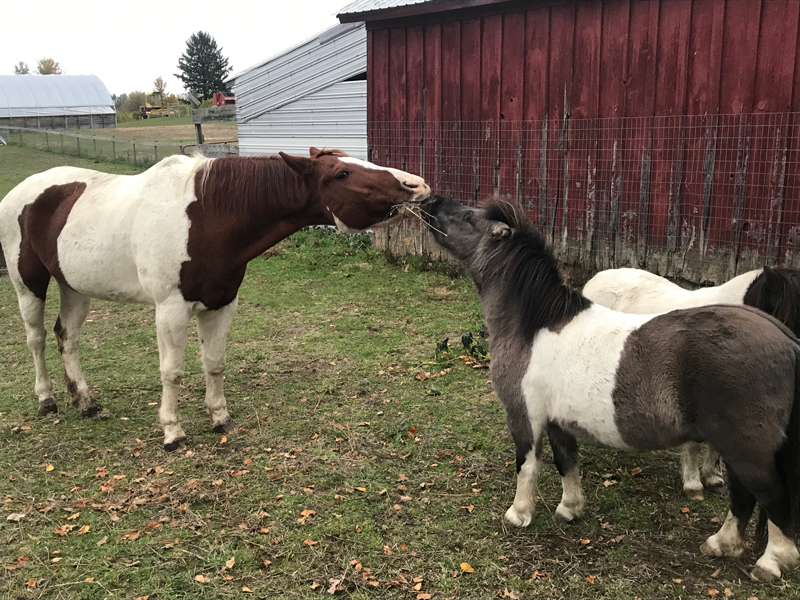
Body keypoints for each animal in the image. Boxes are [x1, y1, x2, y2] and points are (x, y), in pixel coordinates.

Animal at [0, 148, 430, 450]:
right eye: (341, 173)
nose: (418, 185)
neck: (207, 213)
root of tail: (20, 192)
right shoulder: (170, 310)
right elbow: (172, 371)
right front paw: (172, 432)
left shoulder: (221, 304)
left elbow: (215, 364)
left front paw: (220, 418)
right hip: (28, 284)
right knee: (37, 339)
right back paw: (46, 400)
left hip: (74, 287)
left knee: (67, 338)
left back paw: (86, 402)